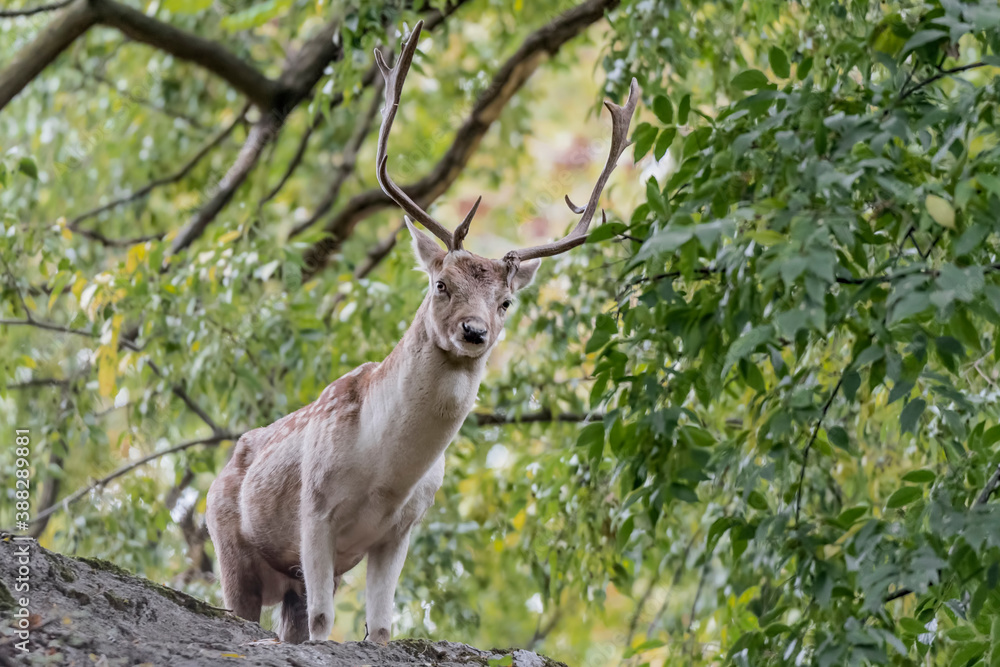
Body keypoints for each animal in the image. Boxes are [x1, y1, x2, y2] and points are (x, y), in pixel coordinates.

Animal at [205, 20, 638, 645]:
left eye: (506, 301)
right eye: (441, 284)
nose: (475, 332)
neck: (383, 472)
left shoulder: (401, 527)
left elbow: (382, 628)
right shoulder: (314, 507)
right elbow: (325, 621)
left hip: (284, 578)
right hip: (229, 548)